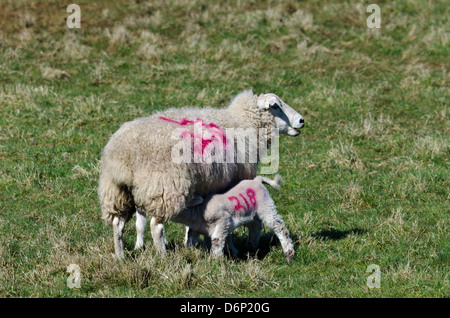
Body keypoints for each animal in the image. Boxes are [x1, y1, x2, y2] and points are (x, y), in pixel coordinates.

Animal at [97, 88, 304, 258]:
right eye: (275, 106)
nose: (302, 120)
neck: (243, 123)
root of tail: (124, 155)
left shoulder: (207, 187)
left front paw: (196, 243)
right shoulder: (232, 182)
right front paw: (231, 249)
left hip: (117, 192)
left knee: (118, 224)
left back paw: (120, 256)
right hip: (165, 189)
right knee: (156, 226)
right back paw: (163, 256)